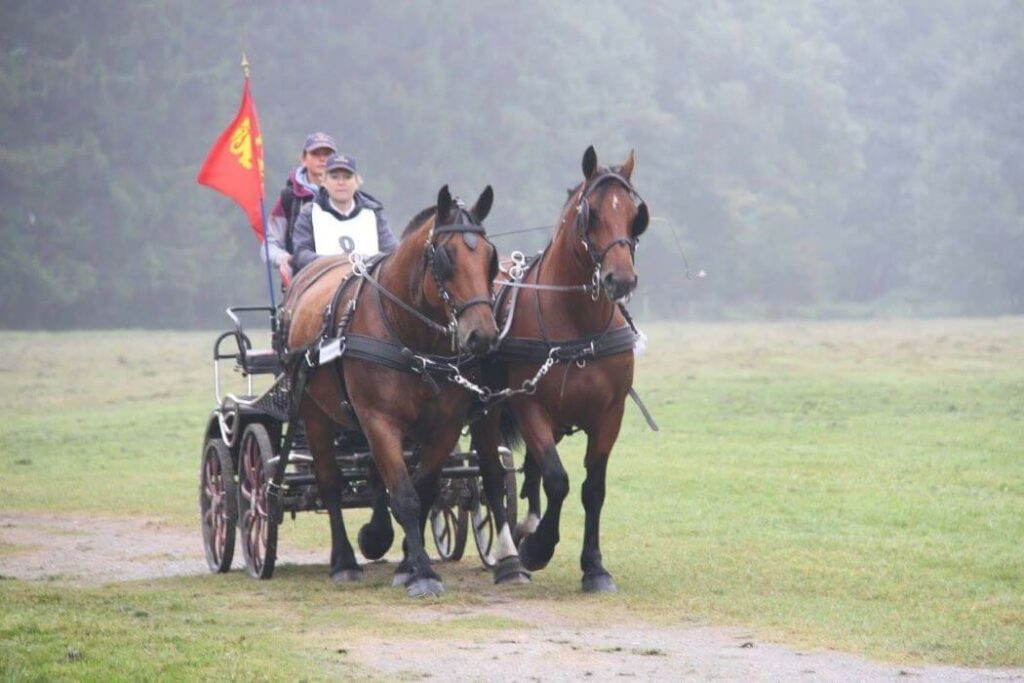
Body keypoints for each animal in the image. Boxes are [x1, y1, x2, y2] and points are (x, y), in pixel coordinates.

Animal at [284, 187, 499, 598]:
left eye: (490, 258)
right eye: (445, 258)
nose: (482, 336)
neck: (412, 336)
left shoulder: (444, 426)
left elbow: (424, 490)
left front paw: (408, 563)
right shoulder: (379, 421)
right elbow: (404, 495)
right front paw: (422, 575)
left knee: (372, 473)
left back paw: (376, 535)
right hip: (315, 413)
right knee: (330, 481)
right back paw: (343, 562)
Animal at [471, 148, 647, 593]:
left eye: (636, 215)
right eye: (592, 213)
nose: (621, 279)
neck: (577, 324)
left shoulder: (610, 415)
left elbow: (592, 488)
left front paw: (594, 567)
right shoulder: (530, 407)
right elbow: (558, 479)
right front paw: (538, 547)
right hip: (487, 411)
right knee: (492, 476)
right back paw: (510, 558)